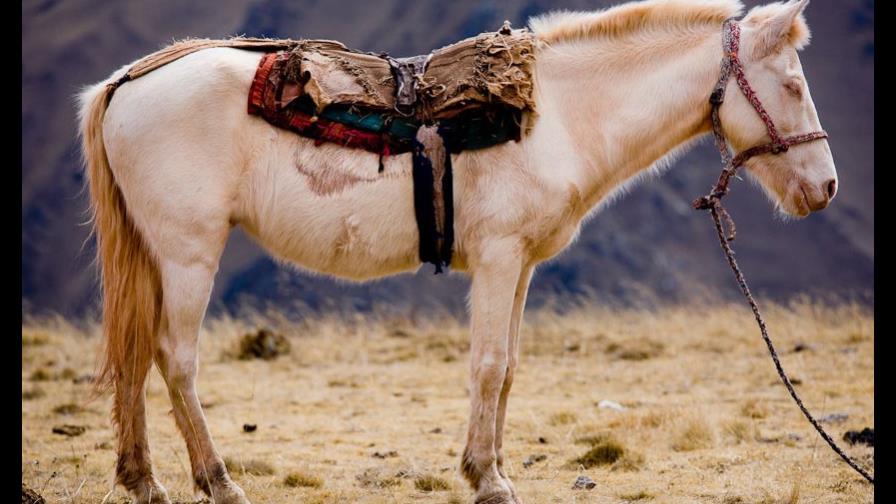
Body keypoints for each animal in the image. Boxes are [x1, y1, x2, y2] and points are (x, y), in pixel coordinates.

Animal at [77, 0, 836, 502]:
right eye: (794, 84)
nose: (825, 188)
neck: (558, 115)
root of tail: (127, 81)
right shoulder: (499, 258)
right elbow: (489, 365)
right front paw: (490, 480)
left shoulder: (522, 266)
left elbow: (509, 368)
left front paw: (487, 468)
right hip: (188, 254)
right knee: (175, 358)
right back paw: (219, 482)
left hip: (154, 256)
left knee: (137, 356)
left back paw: (144, 482)